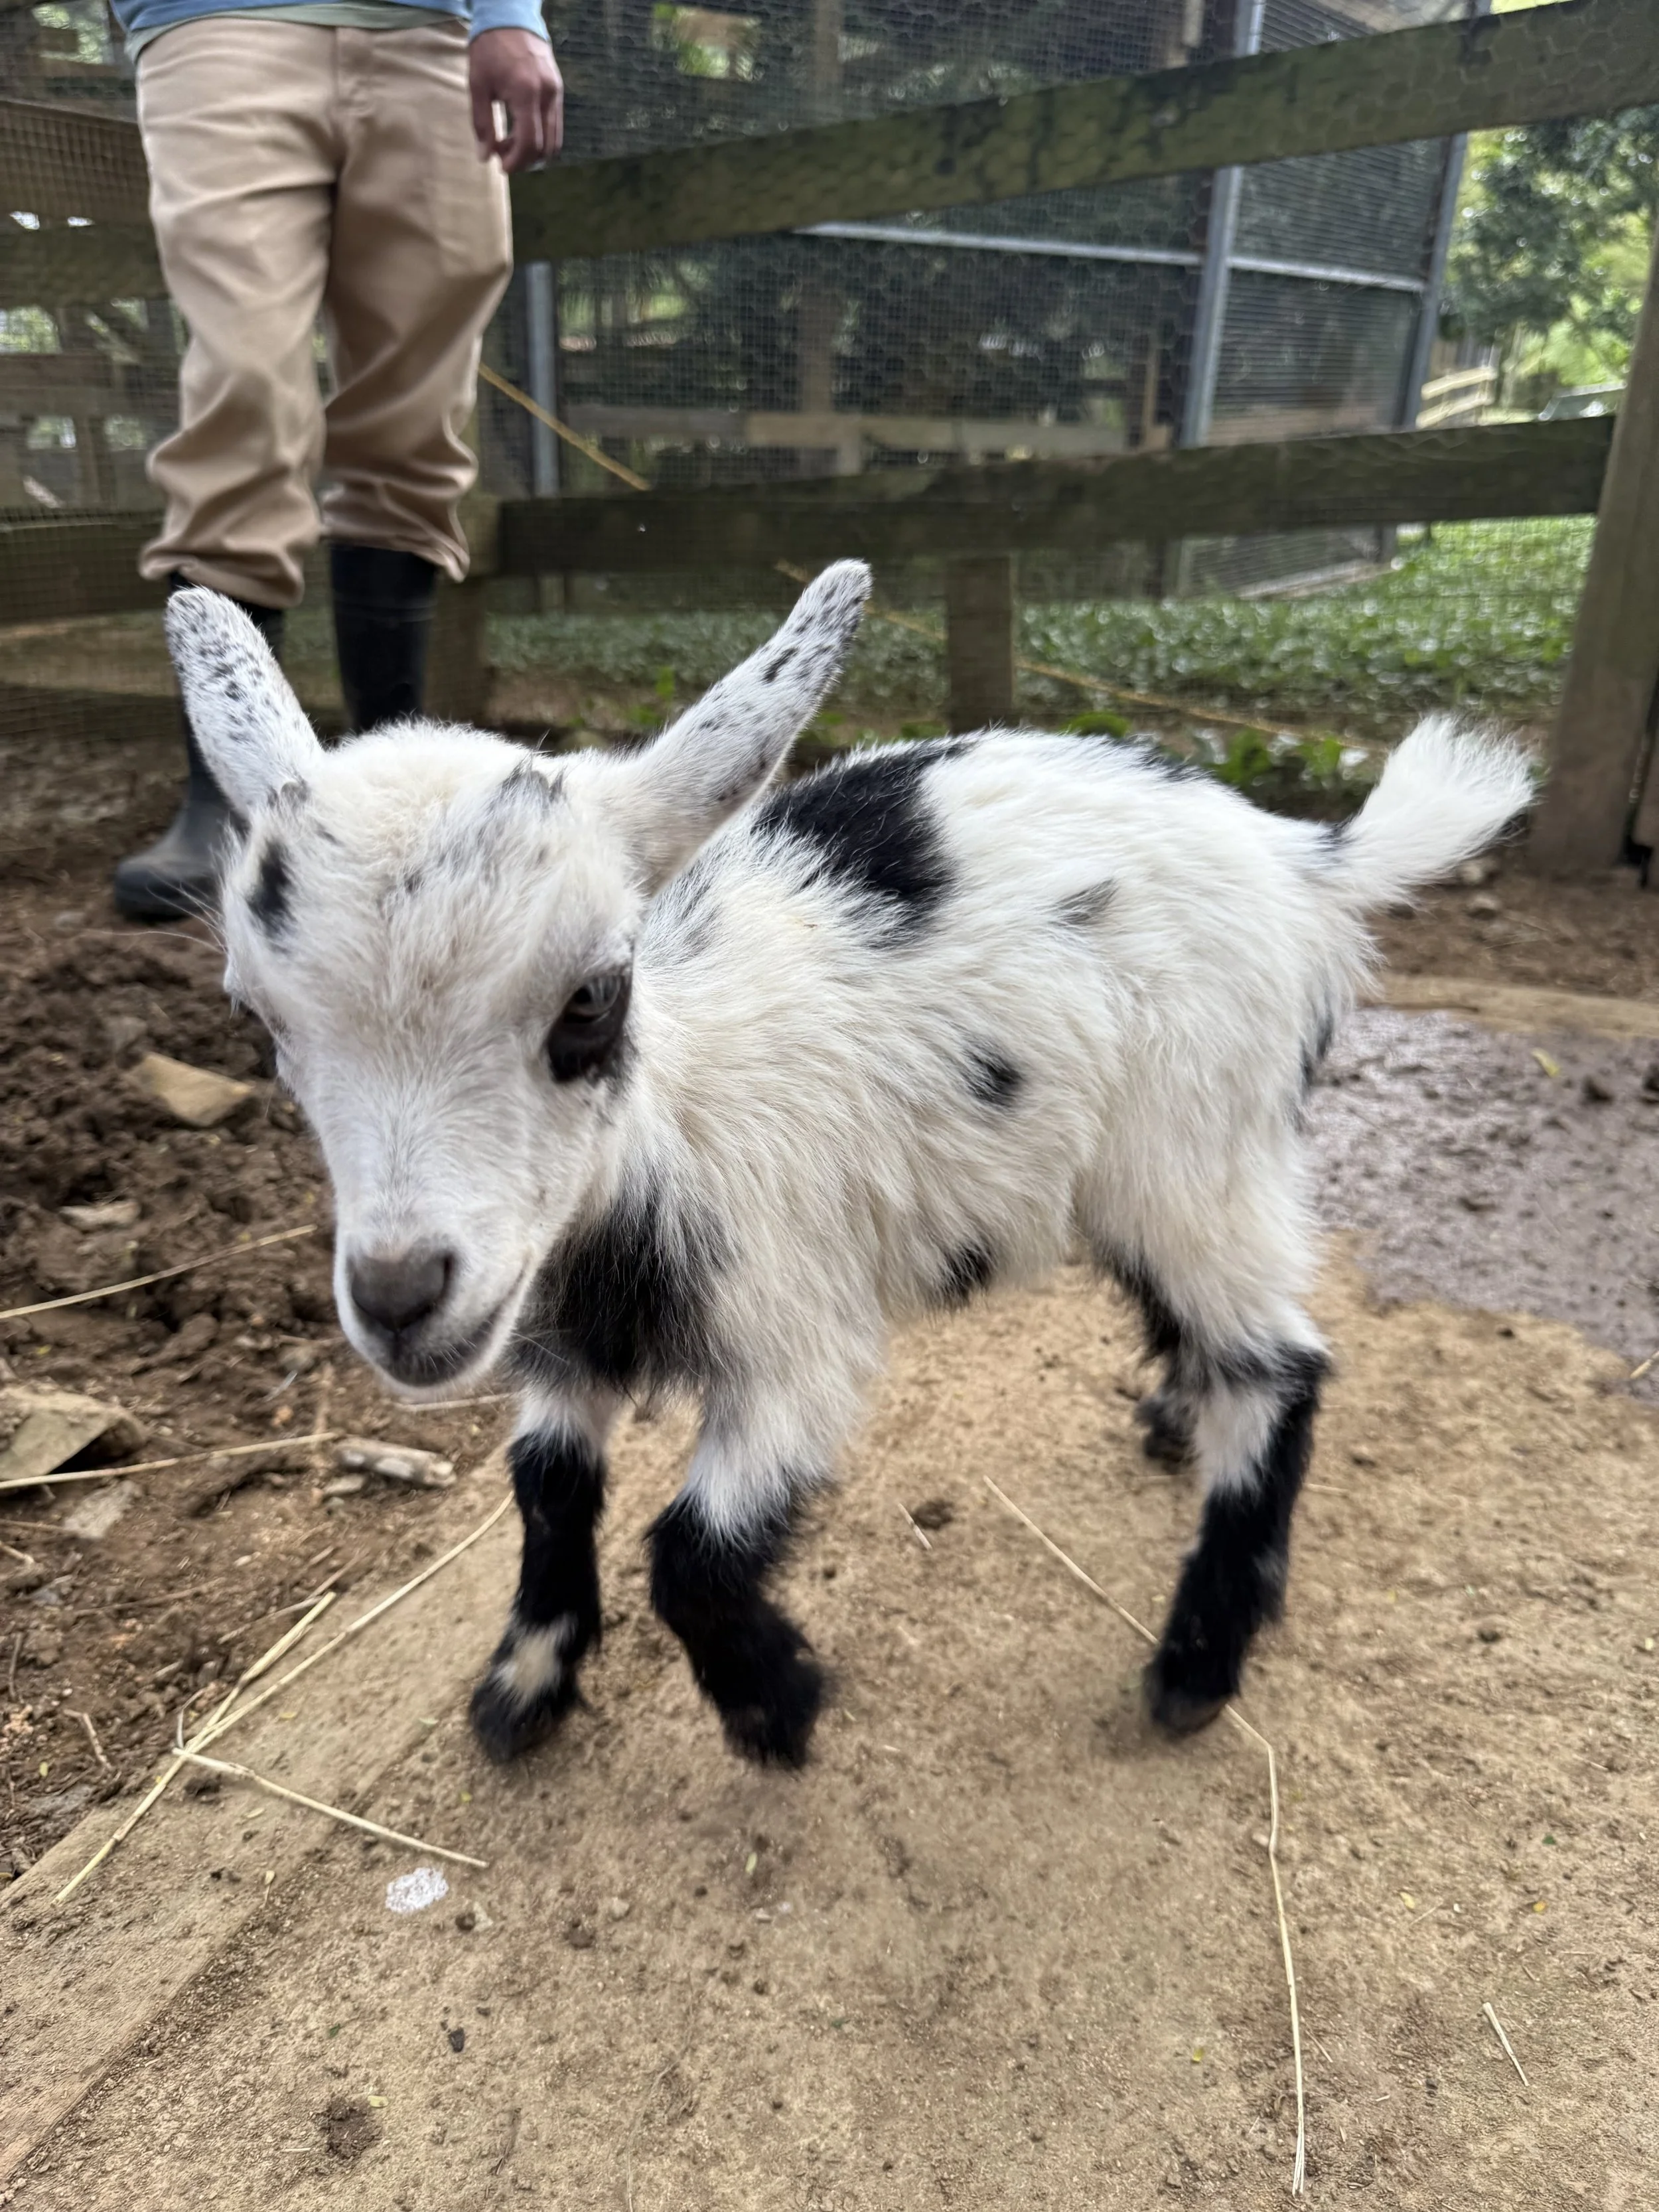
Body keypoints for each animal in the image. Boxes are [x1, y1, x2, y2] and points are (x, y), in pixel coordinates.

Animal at [165, 567, 1530, 1764]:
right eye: (255, 1017)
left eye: (592, 999)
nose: (399, 1298)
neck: (671, 1130)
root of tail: (1311, 859)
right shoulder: (558, 1336)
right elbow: (547, 1483)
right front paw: (526, 1686)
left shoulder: (797, 1338)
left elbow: (692, 1551)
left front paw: (776, 1708)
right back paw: (1173, 1422)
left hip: (1200, 1137)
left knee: (1281, 1366)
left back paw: (1197, 1663)